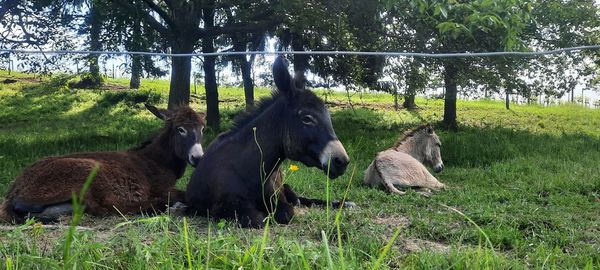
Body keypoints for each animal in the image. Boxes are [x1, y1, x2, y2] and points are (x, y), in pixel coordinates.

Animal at [0, 104, 206, 223]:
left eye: (203, 129)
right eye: (180, 129)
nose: (198, 158)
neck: (156, 161)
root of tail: (13, 192)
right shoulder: (160, 188)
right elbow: (184, 194)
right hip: (88, 173)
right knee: (104, 207)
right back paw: (158, 206)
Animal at [185, 56, 350, 228]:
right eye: (307, 119)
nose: (342, 161)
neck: (252, 170)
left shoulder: (277, 197)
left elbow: (287, 213)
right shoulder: (223, 207)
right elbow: (258, 218)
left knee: (299, 199)